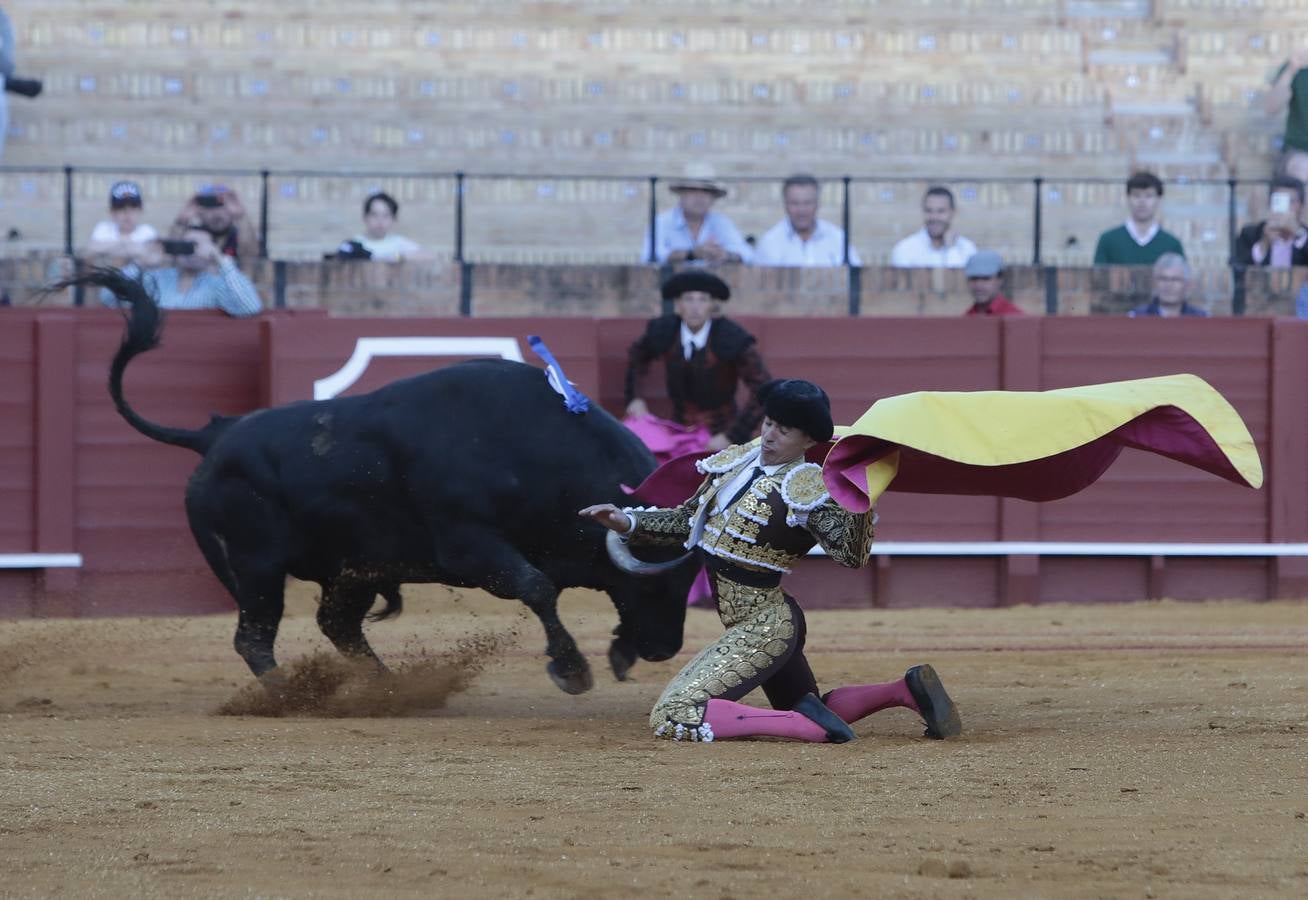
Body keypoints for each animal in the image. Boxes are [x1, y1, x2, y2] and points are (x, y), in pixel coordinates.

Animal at [84, 270, 695, 690]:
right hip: (257, 565)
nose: (664, 649)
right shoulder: (469, 546)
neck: (533, 452)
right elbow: (537, 587)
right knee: (254, 638)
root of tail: (215, 435)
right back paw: (289, 696)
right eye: (657, 583)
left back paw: (386, 687)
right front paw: (572, 670)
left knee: (336, 625)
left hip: (350, 568)